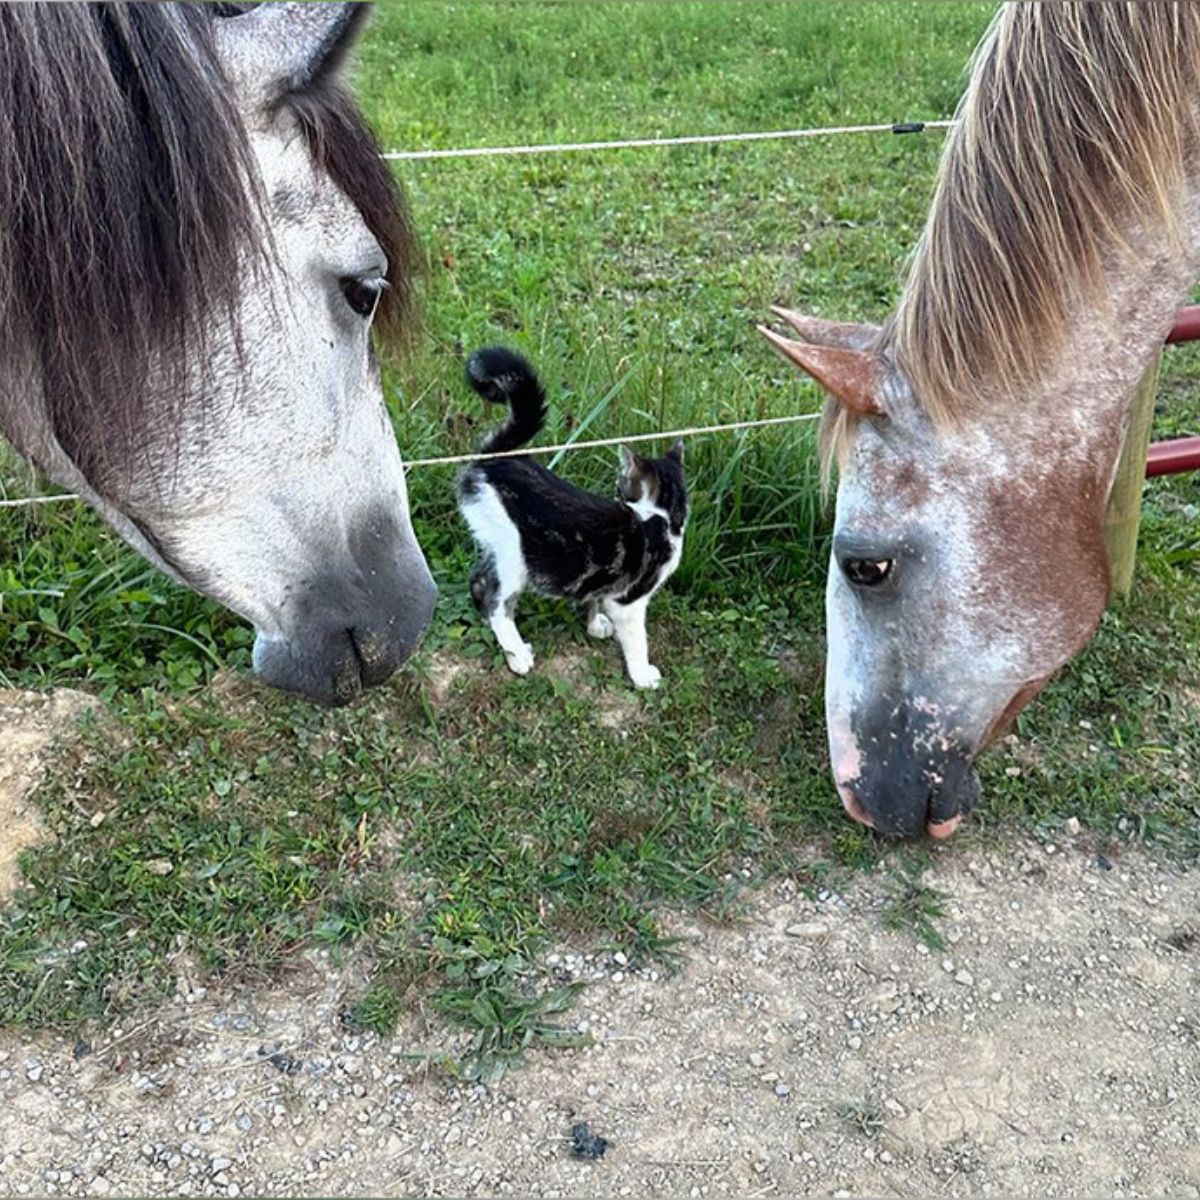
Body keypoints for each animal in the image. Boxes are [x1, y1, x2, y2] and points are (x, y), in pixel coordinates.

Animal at [456, 345, 691, 686]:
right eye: (620, 486)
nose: (617, 495)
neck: (662, 518)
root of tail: (496, 459)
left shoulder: (603, 577)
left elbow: (592, 595)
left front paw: (594, 625)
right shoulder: (629, 601)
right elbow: (637, 639)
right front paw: (642, 676)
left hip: (497, 544)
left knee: (477, 580)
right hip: (515, 555)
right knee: (495, 600)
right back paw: (517, 654)